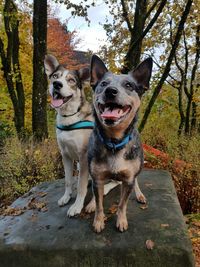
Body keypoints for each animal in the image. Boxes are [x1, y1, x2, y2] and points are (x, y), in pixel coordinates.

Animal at [88, 55, 152, 233]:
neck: (114, 143)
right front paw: (98, 220)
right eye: (103, 83)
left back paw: (139, 194)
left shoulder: (128, 179)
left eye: (129, 85)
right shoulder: (97, 178)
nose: (110, 91)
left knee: (136, 182)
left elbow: (122, 204)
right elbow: (99, 204)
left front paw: (121, 220)